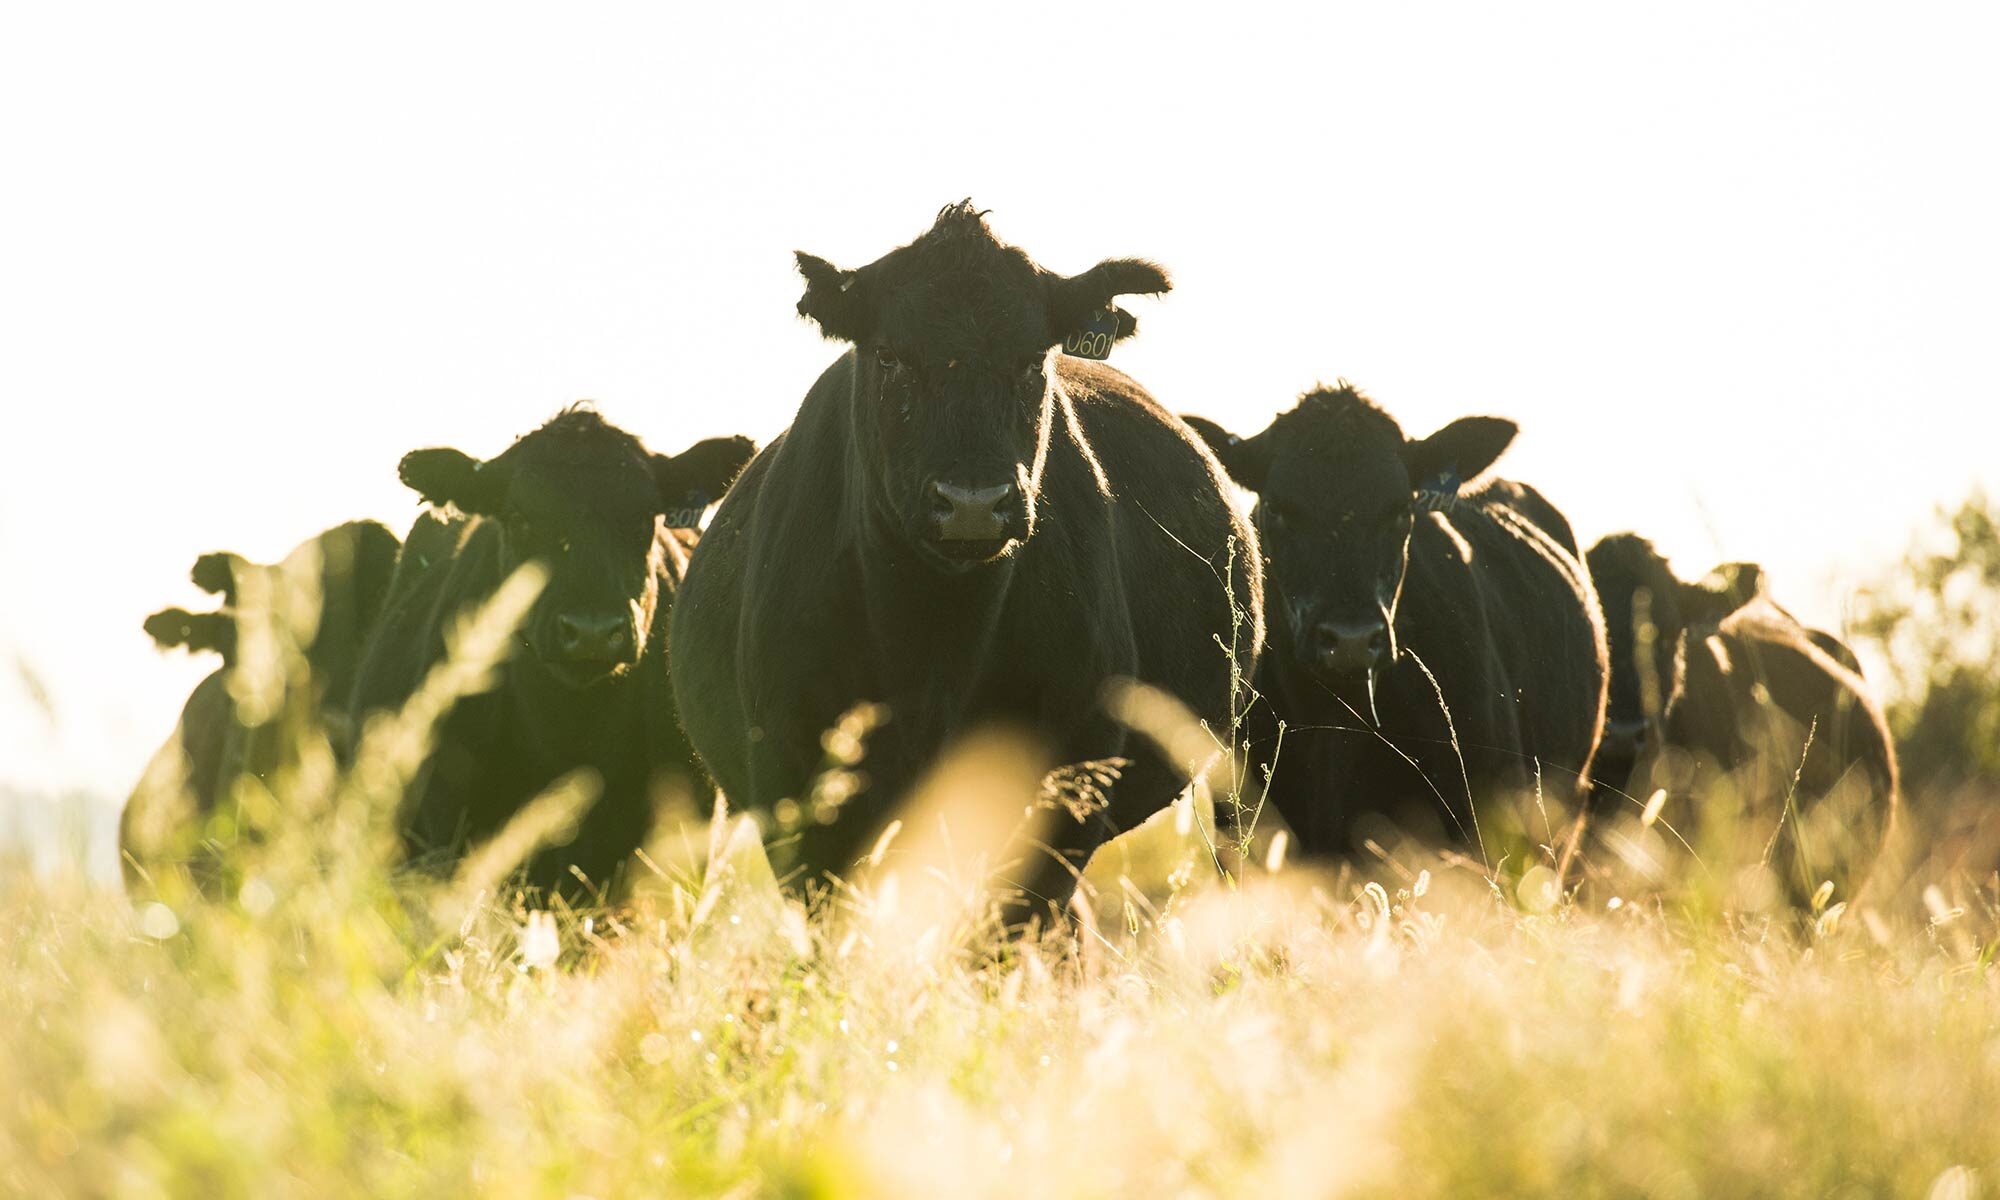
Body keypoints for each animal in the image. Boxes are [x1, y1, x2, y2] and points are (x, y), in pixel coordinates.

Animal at [669, 201, 1262, 921]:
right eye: (890, 355)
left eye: (1033, 359)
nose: (973, 504)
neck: (931, 645)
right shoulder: (798, 789)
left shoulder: (1066, 780)